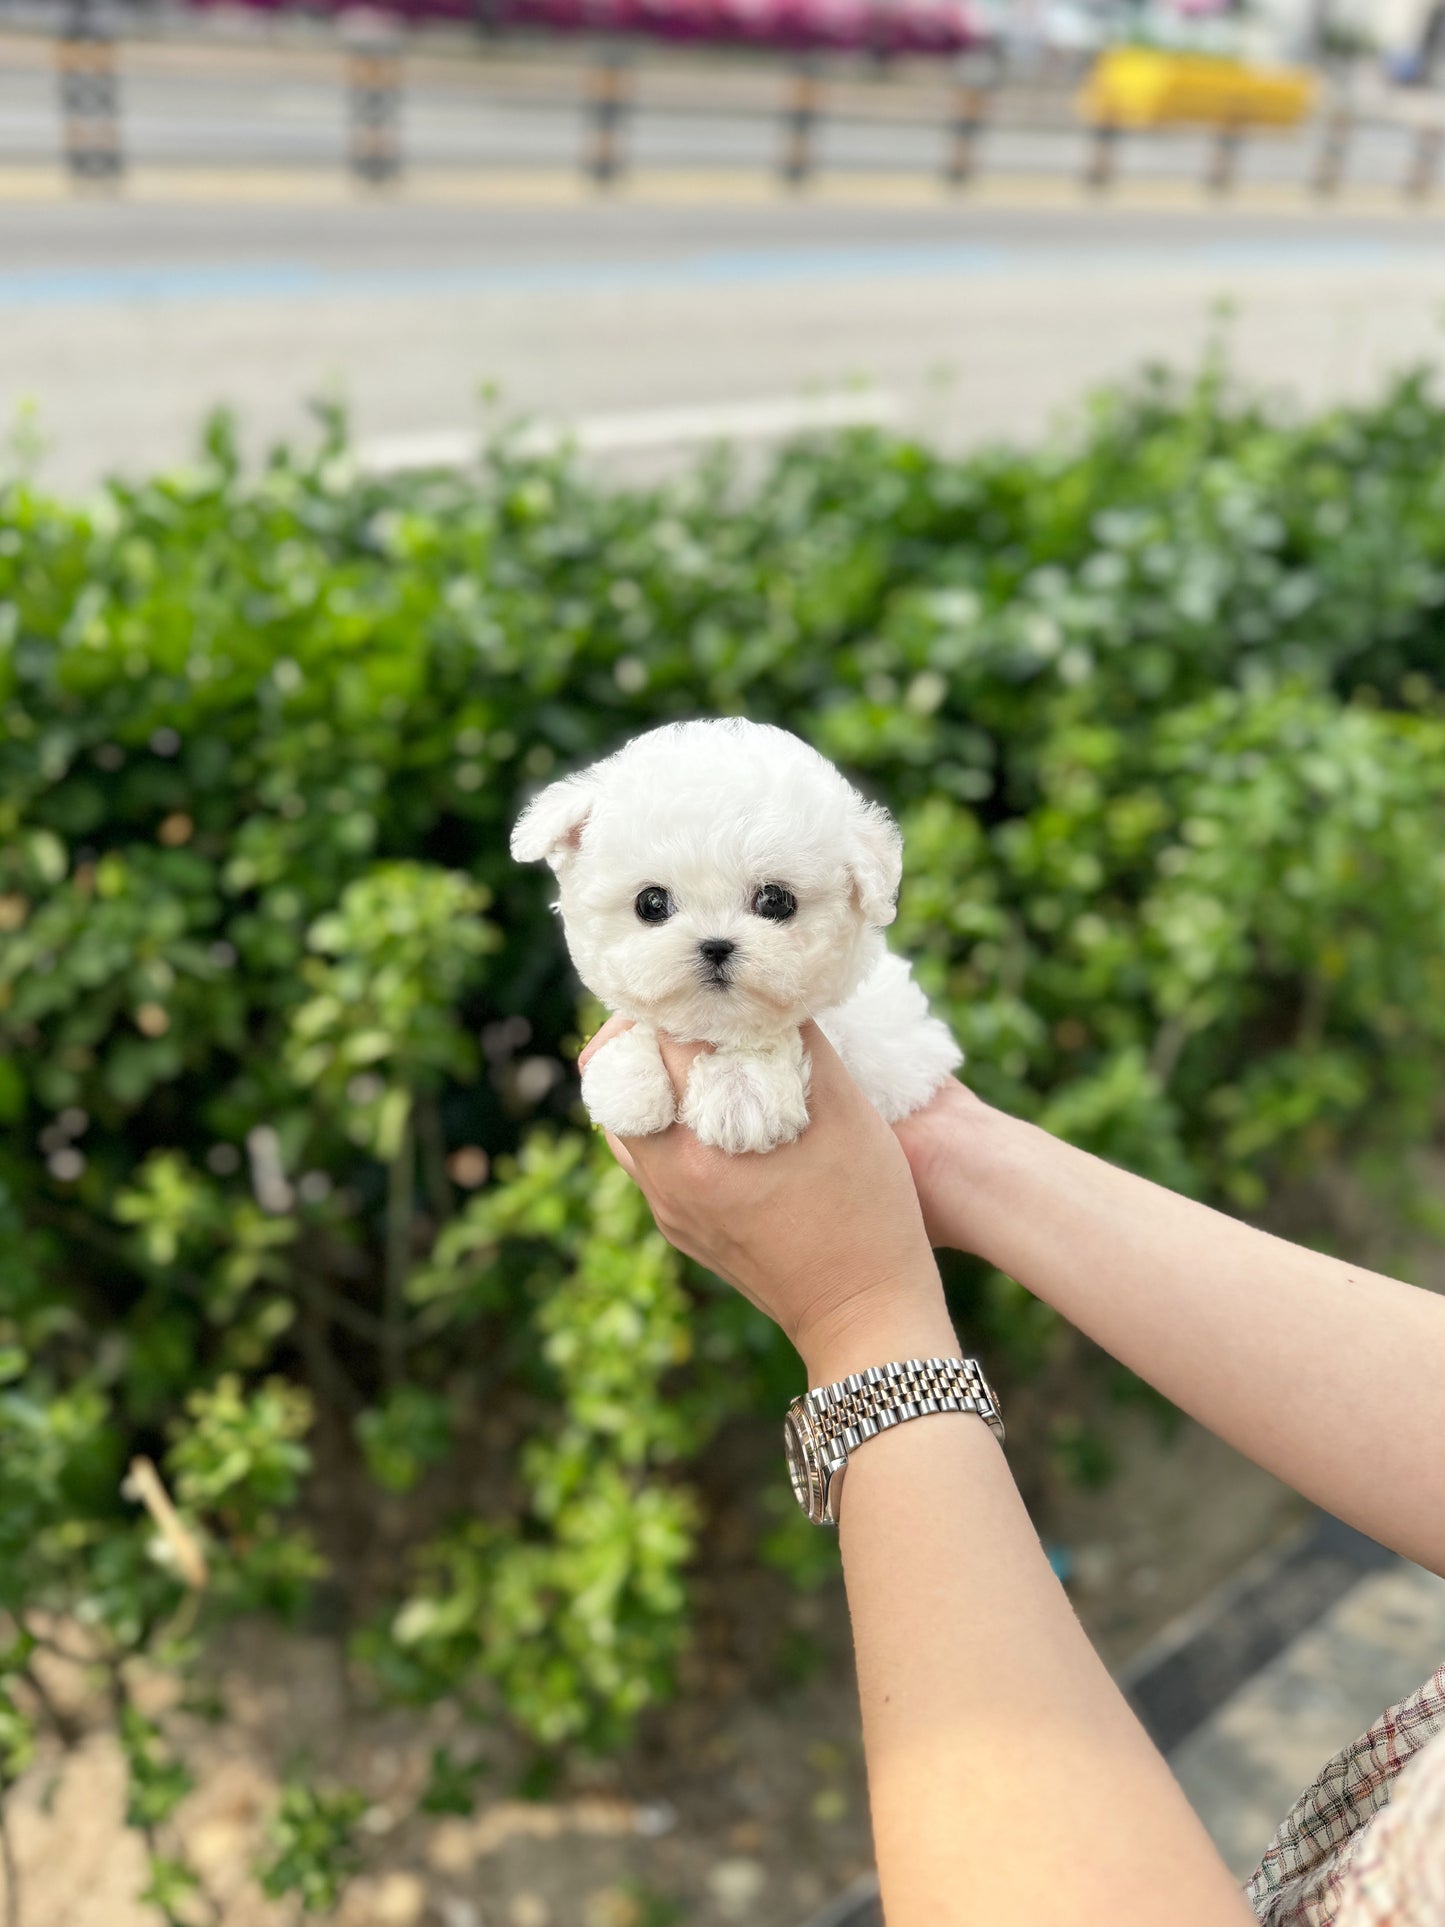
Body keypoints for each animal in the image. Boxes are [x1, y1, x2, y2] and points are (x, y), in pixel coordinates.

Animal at [508, 720, 963, 1140]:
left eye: (775, 900)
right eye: (651, 903)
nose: (715, 946)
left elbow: (770, 1036)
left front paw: (742, 1089)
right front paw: (629, 1082)